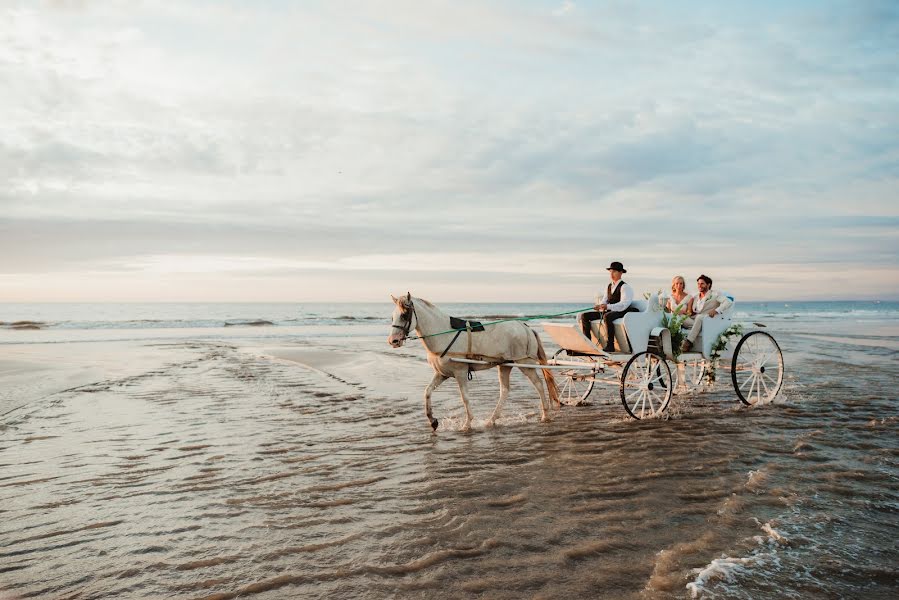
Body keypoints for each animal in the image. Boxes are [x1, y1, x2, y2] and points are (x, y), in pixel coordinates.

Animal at [388, 292, 560, 428]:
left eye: (404, 315)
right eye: (393, 316)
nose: (393, 341)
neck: (444, 334)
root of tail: (525, 327)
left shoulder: (460, 372)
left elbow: (465, 398)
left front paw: (467, 423)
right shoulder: (442, 374)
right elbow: (427, 392)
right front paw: (432, 420)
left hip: (525, 363)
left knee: (538, 384)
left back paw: (545, 414)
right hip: (505, 365)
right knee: (504, 391)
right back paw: (491, 420)